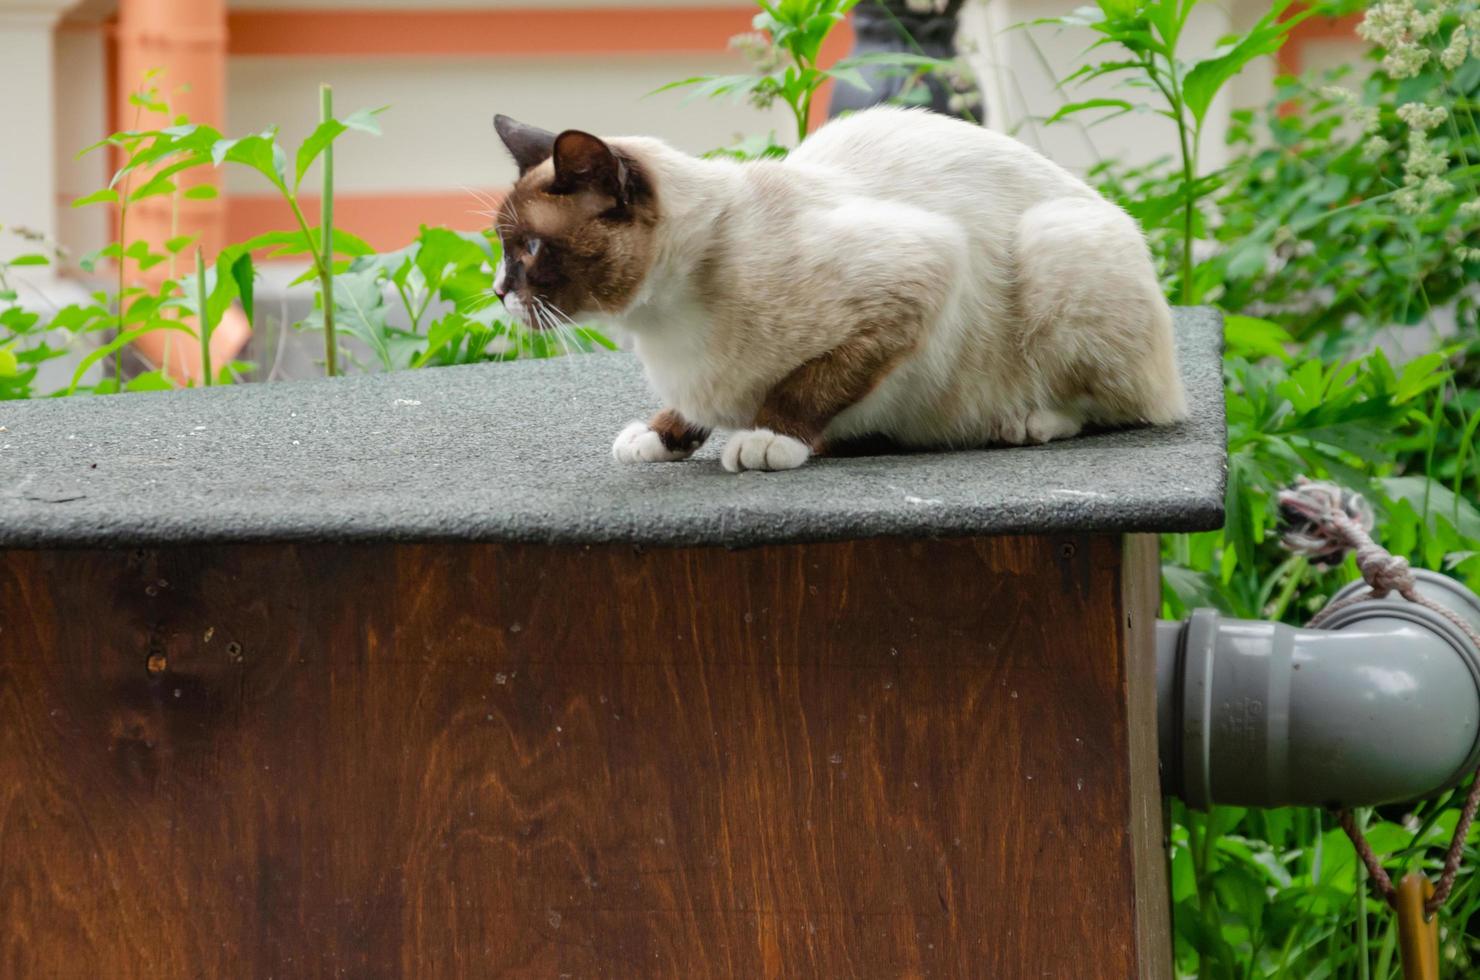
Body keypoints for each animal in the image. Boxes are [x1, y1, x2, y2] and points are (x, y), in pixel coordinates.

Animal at [491, 107, 1184, 476]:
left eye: (530, 249)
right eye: (501, 248)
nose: (497, 291)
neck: (659, 323)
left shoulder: (916, 276)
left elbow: (812, 385)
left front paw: (770, 440)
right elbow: (689, 410)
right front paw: (657, 439)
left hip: (1055, 242)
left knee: (1125, 407)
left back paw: (1026, 423)